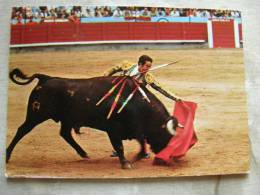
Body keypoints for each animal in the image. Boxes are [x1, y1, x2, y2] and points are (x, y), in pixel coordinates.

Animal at [6, 69, 178, 169]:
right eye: (166, 137)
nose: (169, 159)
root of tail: (46, 78)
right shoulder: (113, 129)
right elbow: (120, 146)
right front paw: (126, 163)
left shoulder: (134, 128)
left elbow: (141, 141)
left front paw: (138, 156)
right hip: (36, 115)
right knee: (22, 130)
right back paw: (7, 155)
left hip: (67, 119)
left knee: (65, 133)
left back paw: (84, 154)